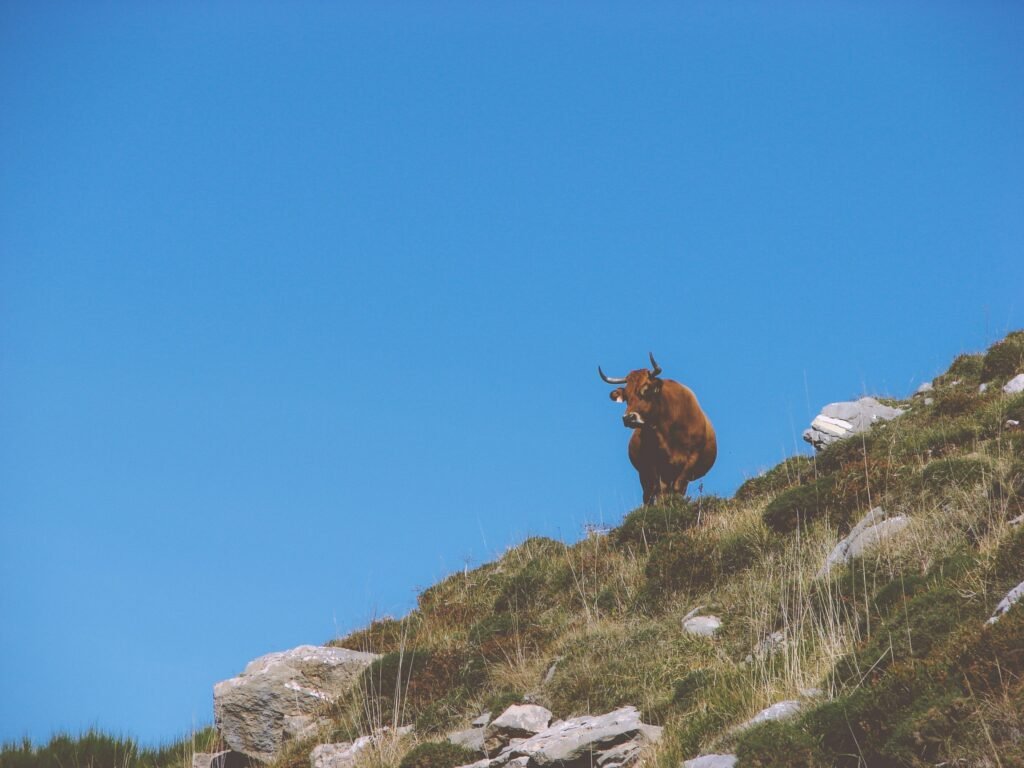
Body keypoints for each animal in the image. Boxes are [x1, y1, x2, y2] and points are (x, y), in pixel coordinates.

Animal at [598, 354, 716, 505]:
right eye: (626, 397)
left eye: (646, 390)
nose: (628, 418)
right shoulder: (653, 464)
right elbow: (659, 491)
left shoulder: (692, 458)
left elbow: (677, 487)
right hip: (644, 474)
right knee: (649, 494)